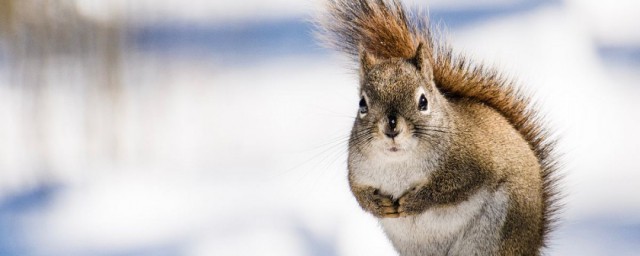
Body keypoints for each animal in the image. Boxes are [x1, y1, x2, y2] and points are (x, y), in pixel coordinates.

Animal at [316, 0, 560, 256]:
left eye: (423, 101)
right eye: (362, 104)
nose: (391, 127)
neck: (398, 162)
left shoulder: (474, 163)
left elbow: (451, 188)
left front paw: (415, 201)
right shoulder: (357, 171)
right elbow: (358, 193)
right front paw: (378, 204)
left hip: (496, 235)